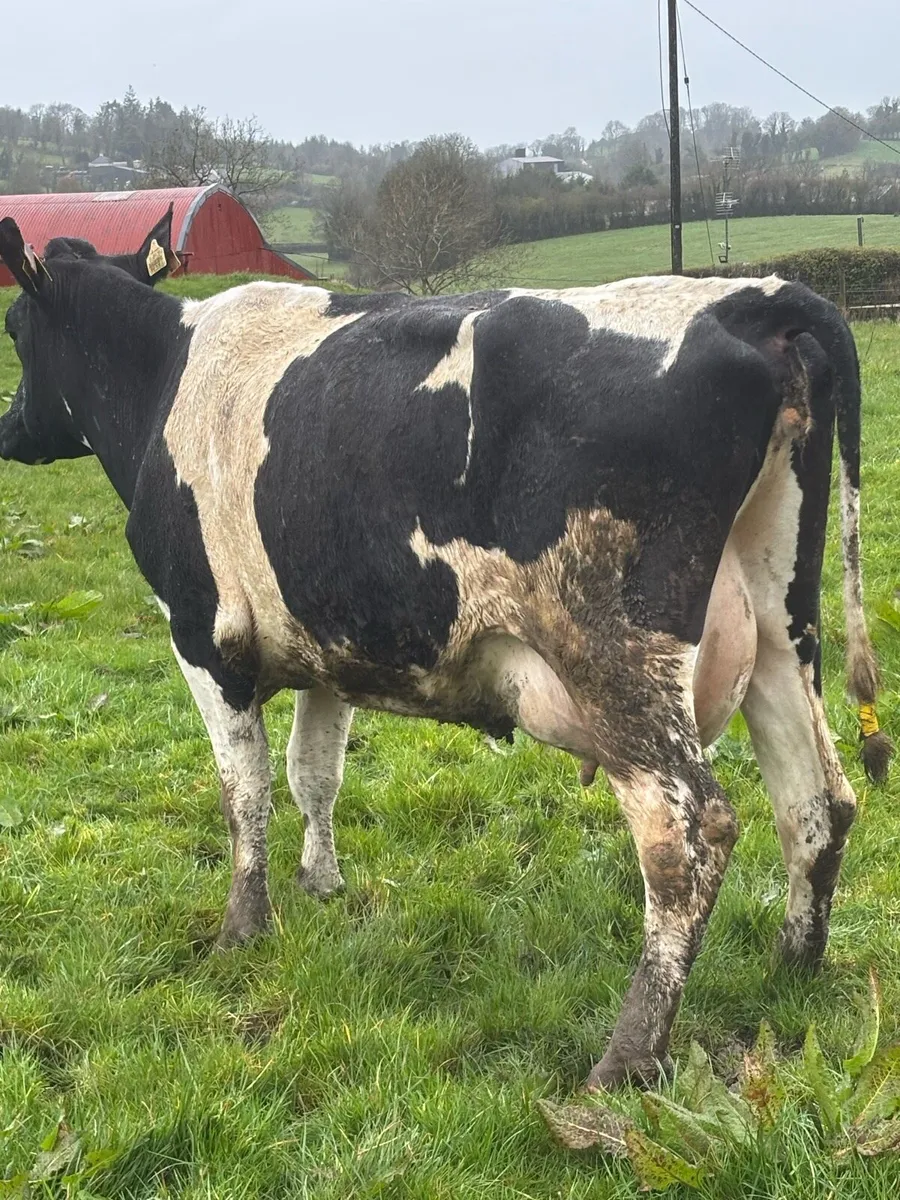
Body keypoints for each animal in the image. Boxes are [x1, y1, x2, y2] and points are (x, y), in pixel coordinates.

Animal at [0, 213, 891, 1091]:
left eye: (13, 329)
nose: (10, 430)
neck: (164, 377)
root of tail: (753, 297)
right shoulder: (333, 643)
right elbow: (313, 773)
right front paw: (322, 884)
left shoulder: (202, 633)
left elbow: (243, 791)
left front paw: (242, 928)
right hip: (780, 627)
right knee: (818, 799)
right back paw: (792, 966)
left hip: (616, 656)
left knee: (690, 833)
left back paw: (625, 1060)